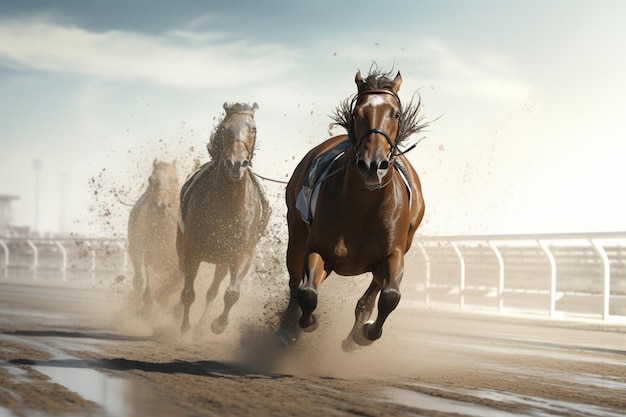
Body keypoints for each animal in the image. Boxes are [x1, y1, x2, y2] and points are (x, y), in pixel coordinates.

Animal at [178, 102, 270, 334]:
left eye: (253, 129)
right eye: (224, 128)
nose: (236, 163)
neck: (227, 205)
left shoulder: (240, 253)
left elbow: (232, 293)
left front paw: (218, 324)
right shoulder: (192, 251)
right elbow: (188, 292)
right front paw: (184, 326)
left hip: (223, 262)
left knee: (213, 291)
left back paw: (202, 325)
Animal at [276, 69, 426, 352]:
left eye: (395, 114)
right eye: (357, 113)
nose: (372, 165)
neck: (364, 206)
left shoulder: (394, 253)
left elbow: (390, 296)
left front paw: (362, 335)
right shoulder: (318, 248)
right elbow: (307, 292)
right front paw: (305, 324)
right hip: (296, 230)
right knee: (295, 280)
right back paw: (286, 327)